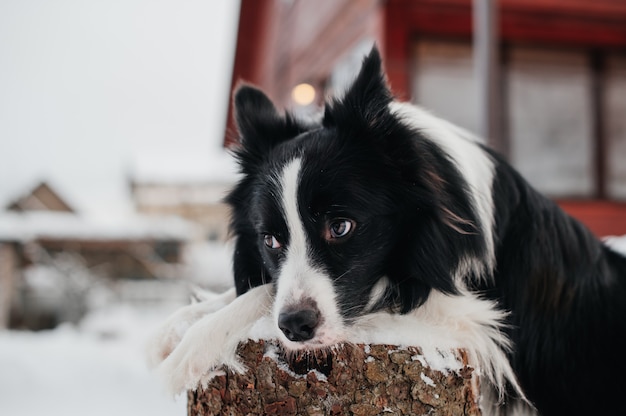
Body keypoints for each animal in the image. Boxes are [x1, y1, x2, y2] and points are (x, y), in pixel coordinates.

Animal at [149, 47, 624, 414]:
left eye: (341, 227)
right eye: (271, 240)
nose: (296, 327)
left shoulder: (472, 317)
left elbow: (268, 293)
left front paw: (194, 343)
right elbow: (264, 288)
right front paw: (177, 325)